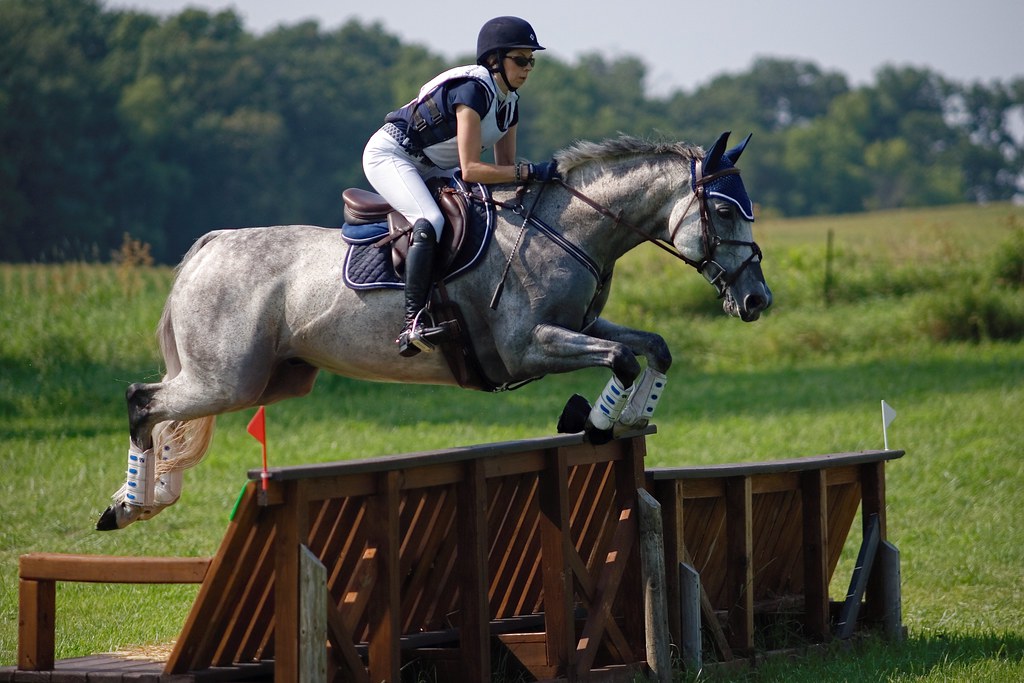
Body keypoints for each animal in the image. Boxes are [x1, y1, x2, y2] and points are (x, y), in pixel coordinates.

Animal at [96, 131, 771, 530]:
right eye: (723, 209)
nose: (757, 299)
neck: (567, 229)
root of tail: (209, 246)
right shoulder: (528, 347)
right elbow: (621, 360)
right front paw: (596, 423)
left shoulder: (578, 326)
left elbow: (653, 348)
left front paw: (628, 419)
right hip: (227, 378)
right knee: (143, 401)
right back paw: (132, 504)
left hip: (272, 379)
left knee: (167, 415)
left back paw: (144, 499)